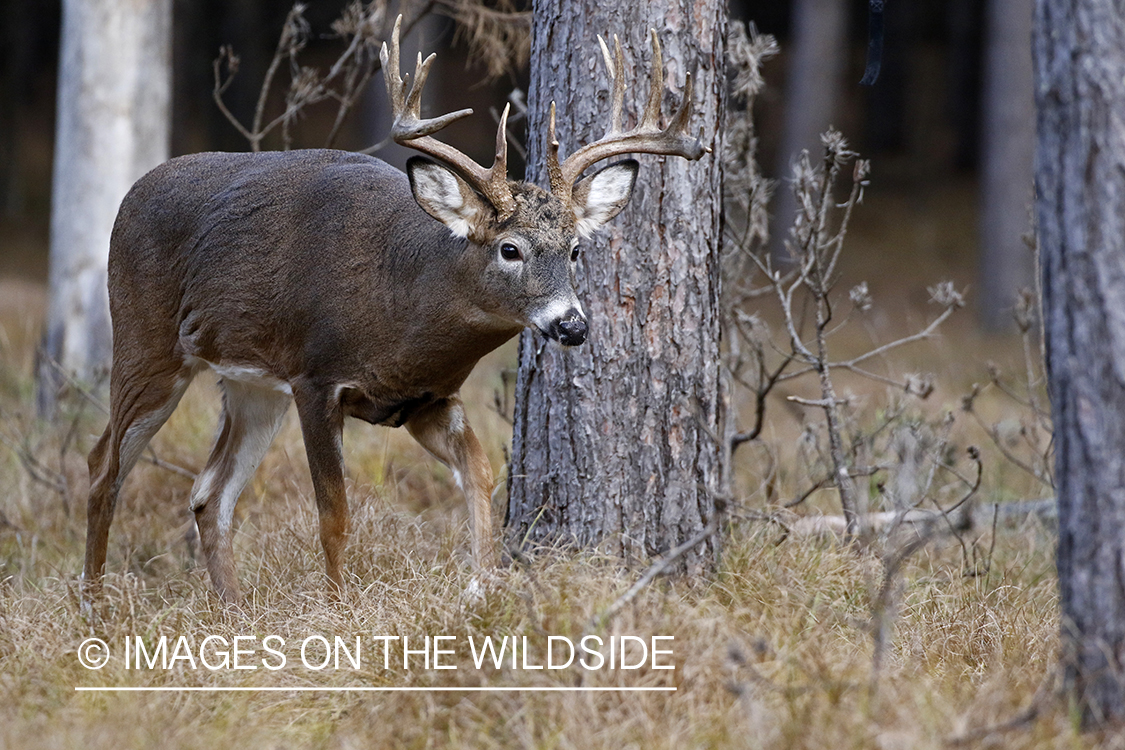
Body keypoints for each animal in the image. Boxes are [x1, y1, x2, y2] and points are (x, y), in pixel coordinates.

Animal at [83, 17, 706, 602]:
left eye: (575, 249)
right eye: (510, 249)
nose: (571, 324)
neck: (402, 311)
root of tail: (128, 198)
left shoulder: (429, 398)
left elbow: (481, 474)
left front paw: (482, 586)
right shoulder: (316, 378)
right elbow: (334, 516)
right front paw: (340, 612)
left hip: (251, 385)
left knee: (208, 493)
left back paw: (235, 613)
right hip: (146, 342)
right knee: (102, 466)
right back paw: (95, 605)